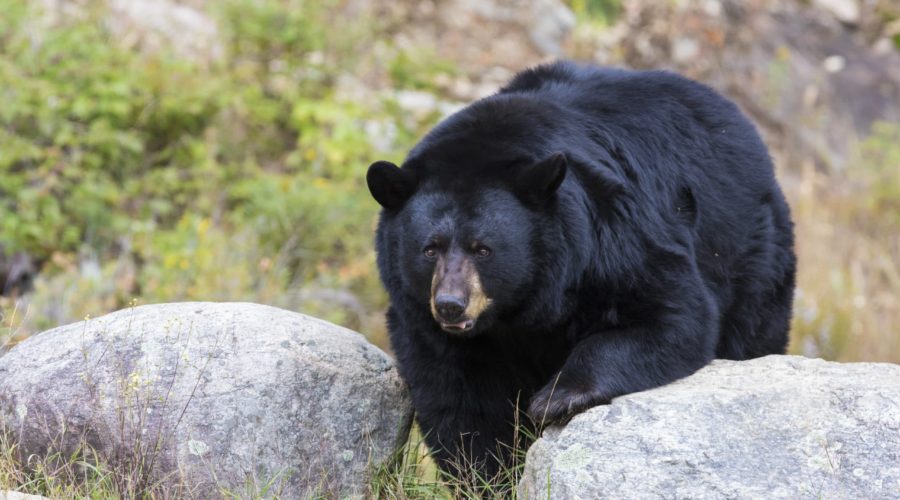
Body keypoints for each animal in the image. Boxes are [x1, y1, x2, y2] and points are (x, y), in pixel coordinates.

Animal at [366, 61, 795, 482]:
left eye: (483, 249)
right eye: (429, 249)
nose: (451, 305)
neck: (520, 308)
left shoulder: (610, 234)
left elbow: (672, 312)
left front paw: (558, 398)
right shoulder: (422, 316)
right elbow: (456, 393)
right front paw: (487, 474)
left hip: (747, 252)